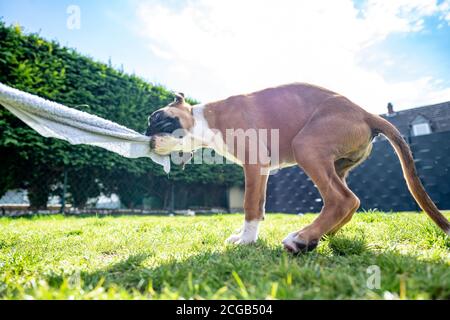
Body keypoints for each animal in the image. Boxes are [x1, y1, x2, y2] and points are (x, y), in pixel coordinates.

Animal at [146, 84, 448, 254]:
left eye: (157, 119)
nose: (147, 138)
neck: (205, 120)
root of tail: (365, 113)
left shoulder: (254, 165)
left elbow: (249, 206)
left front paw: (246, 240)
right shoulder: (262, 172)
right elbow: (259, 205)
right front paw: (247, 235)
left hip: (307, 146)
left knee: (343, 201)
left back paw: (301, 239)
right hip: (336, 166)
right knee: (346, 205)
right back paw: (315, 237)